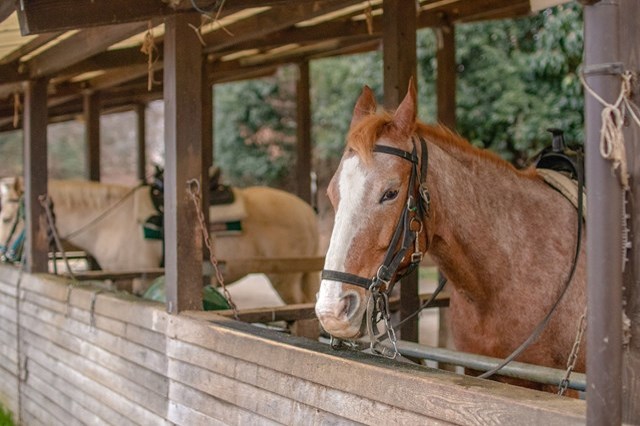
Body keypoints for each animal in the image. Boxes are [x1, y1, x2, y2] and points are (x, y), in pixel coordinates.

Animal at [0, 177, 320, 306]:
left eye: (6, 218)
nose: (4, 254)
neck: (111, 222)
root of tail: (306, 210)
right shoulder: (122, 280)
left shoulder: (141, 279)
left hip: (285, 278)